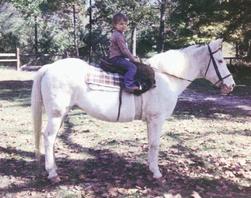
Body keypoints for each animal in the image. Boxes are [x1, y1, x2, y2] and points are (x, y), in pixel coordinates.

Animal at [31, 38, 235, 183]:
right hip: (56, 115)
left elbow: (150, 144)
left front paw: (151, 168)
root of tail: (49, 67)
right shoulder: (157, 119)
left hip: (61, 114)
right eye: (220, 60)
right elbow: (155, 144)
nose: (231, 86)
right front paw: (157, 173)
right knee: (48, 137)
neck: (164, 79)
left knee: (52, 139)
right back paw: (53, 173)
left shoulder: (151, 121)